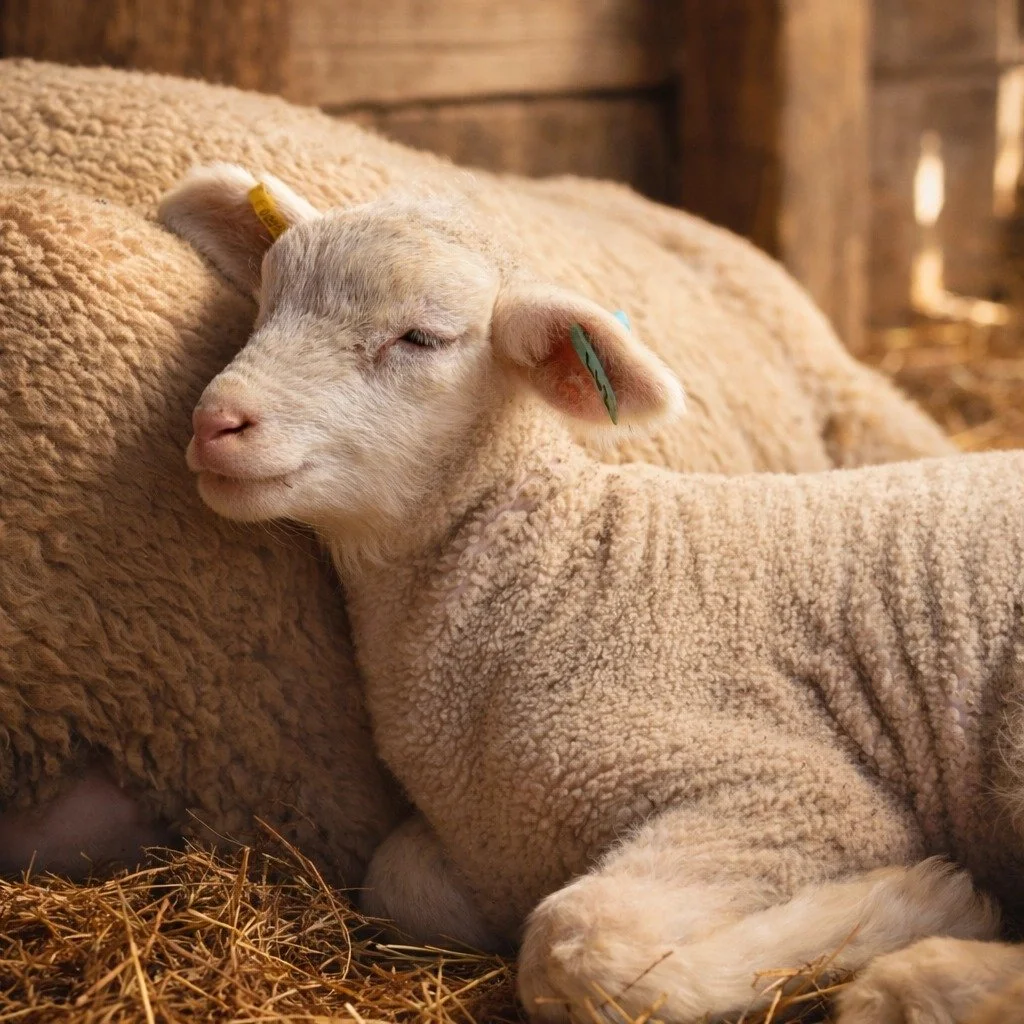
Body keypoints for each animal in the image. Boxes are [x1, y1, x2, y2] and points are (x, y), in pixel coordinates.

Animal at [162, 167, 1024, 1023]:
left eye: (421, 338)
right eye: (268, 302)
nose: (216, 421)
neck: (558, 580)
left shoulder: (797, 792)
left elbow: (581, 941)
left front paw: (924, 903)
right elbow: (402, 881)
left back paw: (917, 978)